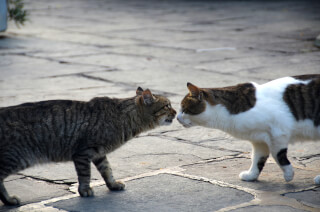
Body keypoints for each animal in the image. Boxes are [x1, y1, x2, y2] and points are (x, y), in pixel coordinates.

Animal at [0, 88, 176, 205]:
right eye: (167, 106)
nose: (175, 112)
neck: (123, 118)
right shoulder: (83, 153)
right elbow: (85, 175)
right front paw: (84, 190)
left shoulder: (99, 153)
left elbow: (107, 170)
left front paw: (113, 185)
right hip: (16, 157)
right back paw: (9, 200)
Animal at [178, 74, 320, 184]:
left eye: (184, 109)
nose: (177, 117)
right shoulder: (259, 140)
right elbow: (257, 158)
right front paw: (252, 175)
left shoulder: (278, 132)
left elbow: (277, 155)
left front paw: (288, 174)